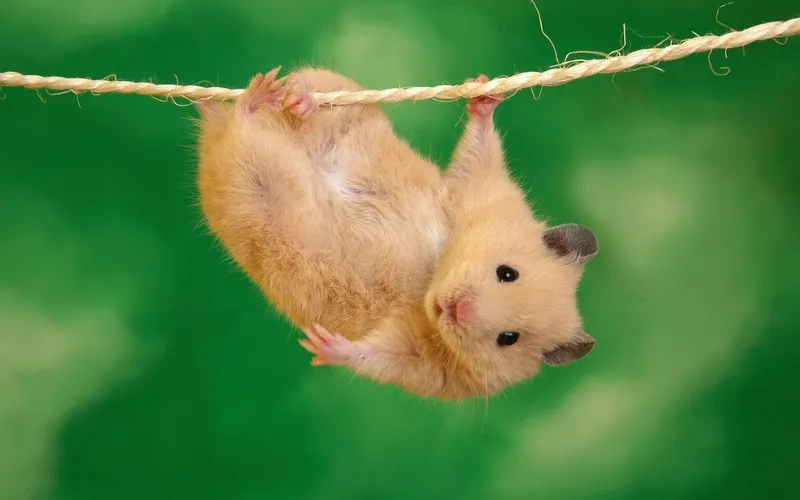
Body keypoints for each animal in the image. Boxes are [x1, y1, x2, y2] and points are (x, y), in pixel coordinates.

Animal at [195, 67, 598, 400]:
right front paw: (484, 92)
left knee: (242, 134)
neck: (432, 277)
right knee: (312, 91)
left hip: (252, 188)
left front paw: (321, 345)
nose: (456, 309)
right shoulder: (477, 191)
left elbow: (377, 356)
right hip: (346, 106)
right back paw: (287, 95)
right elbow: (478, 151)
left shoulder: (426, 365)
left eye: (508, 339)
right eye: (507, 273)